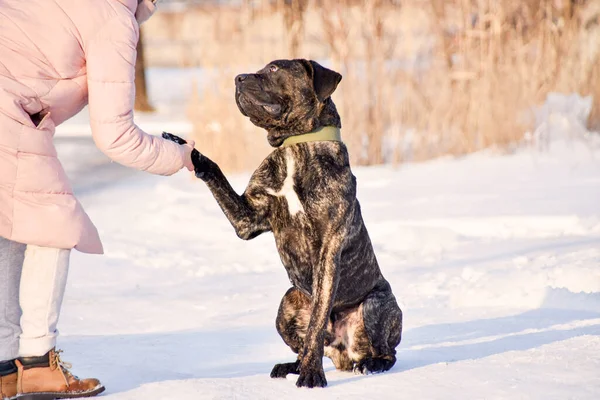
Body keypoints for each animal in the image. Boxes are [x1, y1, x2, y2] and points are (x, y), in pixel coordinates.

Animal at [163, 59, 404, 388]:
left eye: (275, 69)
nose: (238, 78)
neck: (294, 145)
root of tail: (344, 352)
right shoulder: (247, 219)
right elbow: (214, 169)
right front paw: (184, 147)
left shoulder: (328, 251)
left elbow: (316, 322)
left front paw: (313, 375)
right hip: (287, 304)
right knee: (304, 345)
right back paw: (292, 365)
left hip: (376, 304)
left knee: (386, 351)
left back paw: (370, 363)